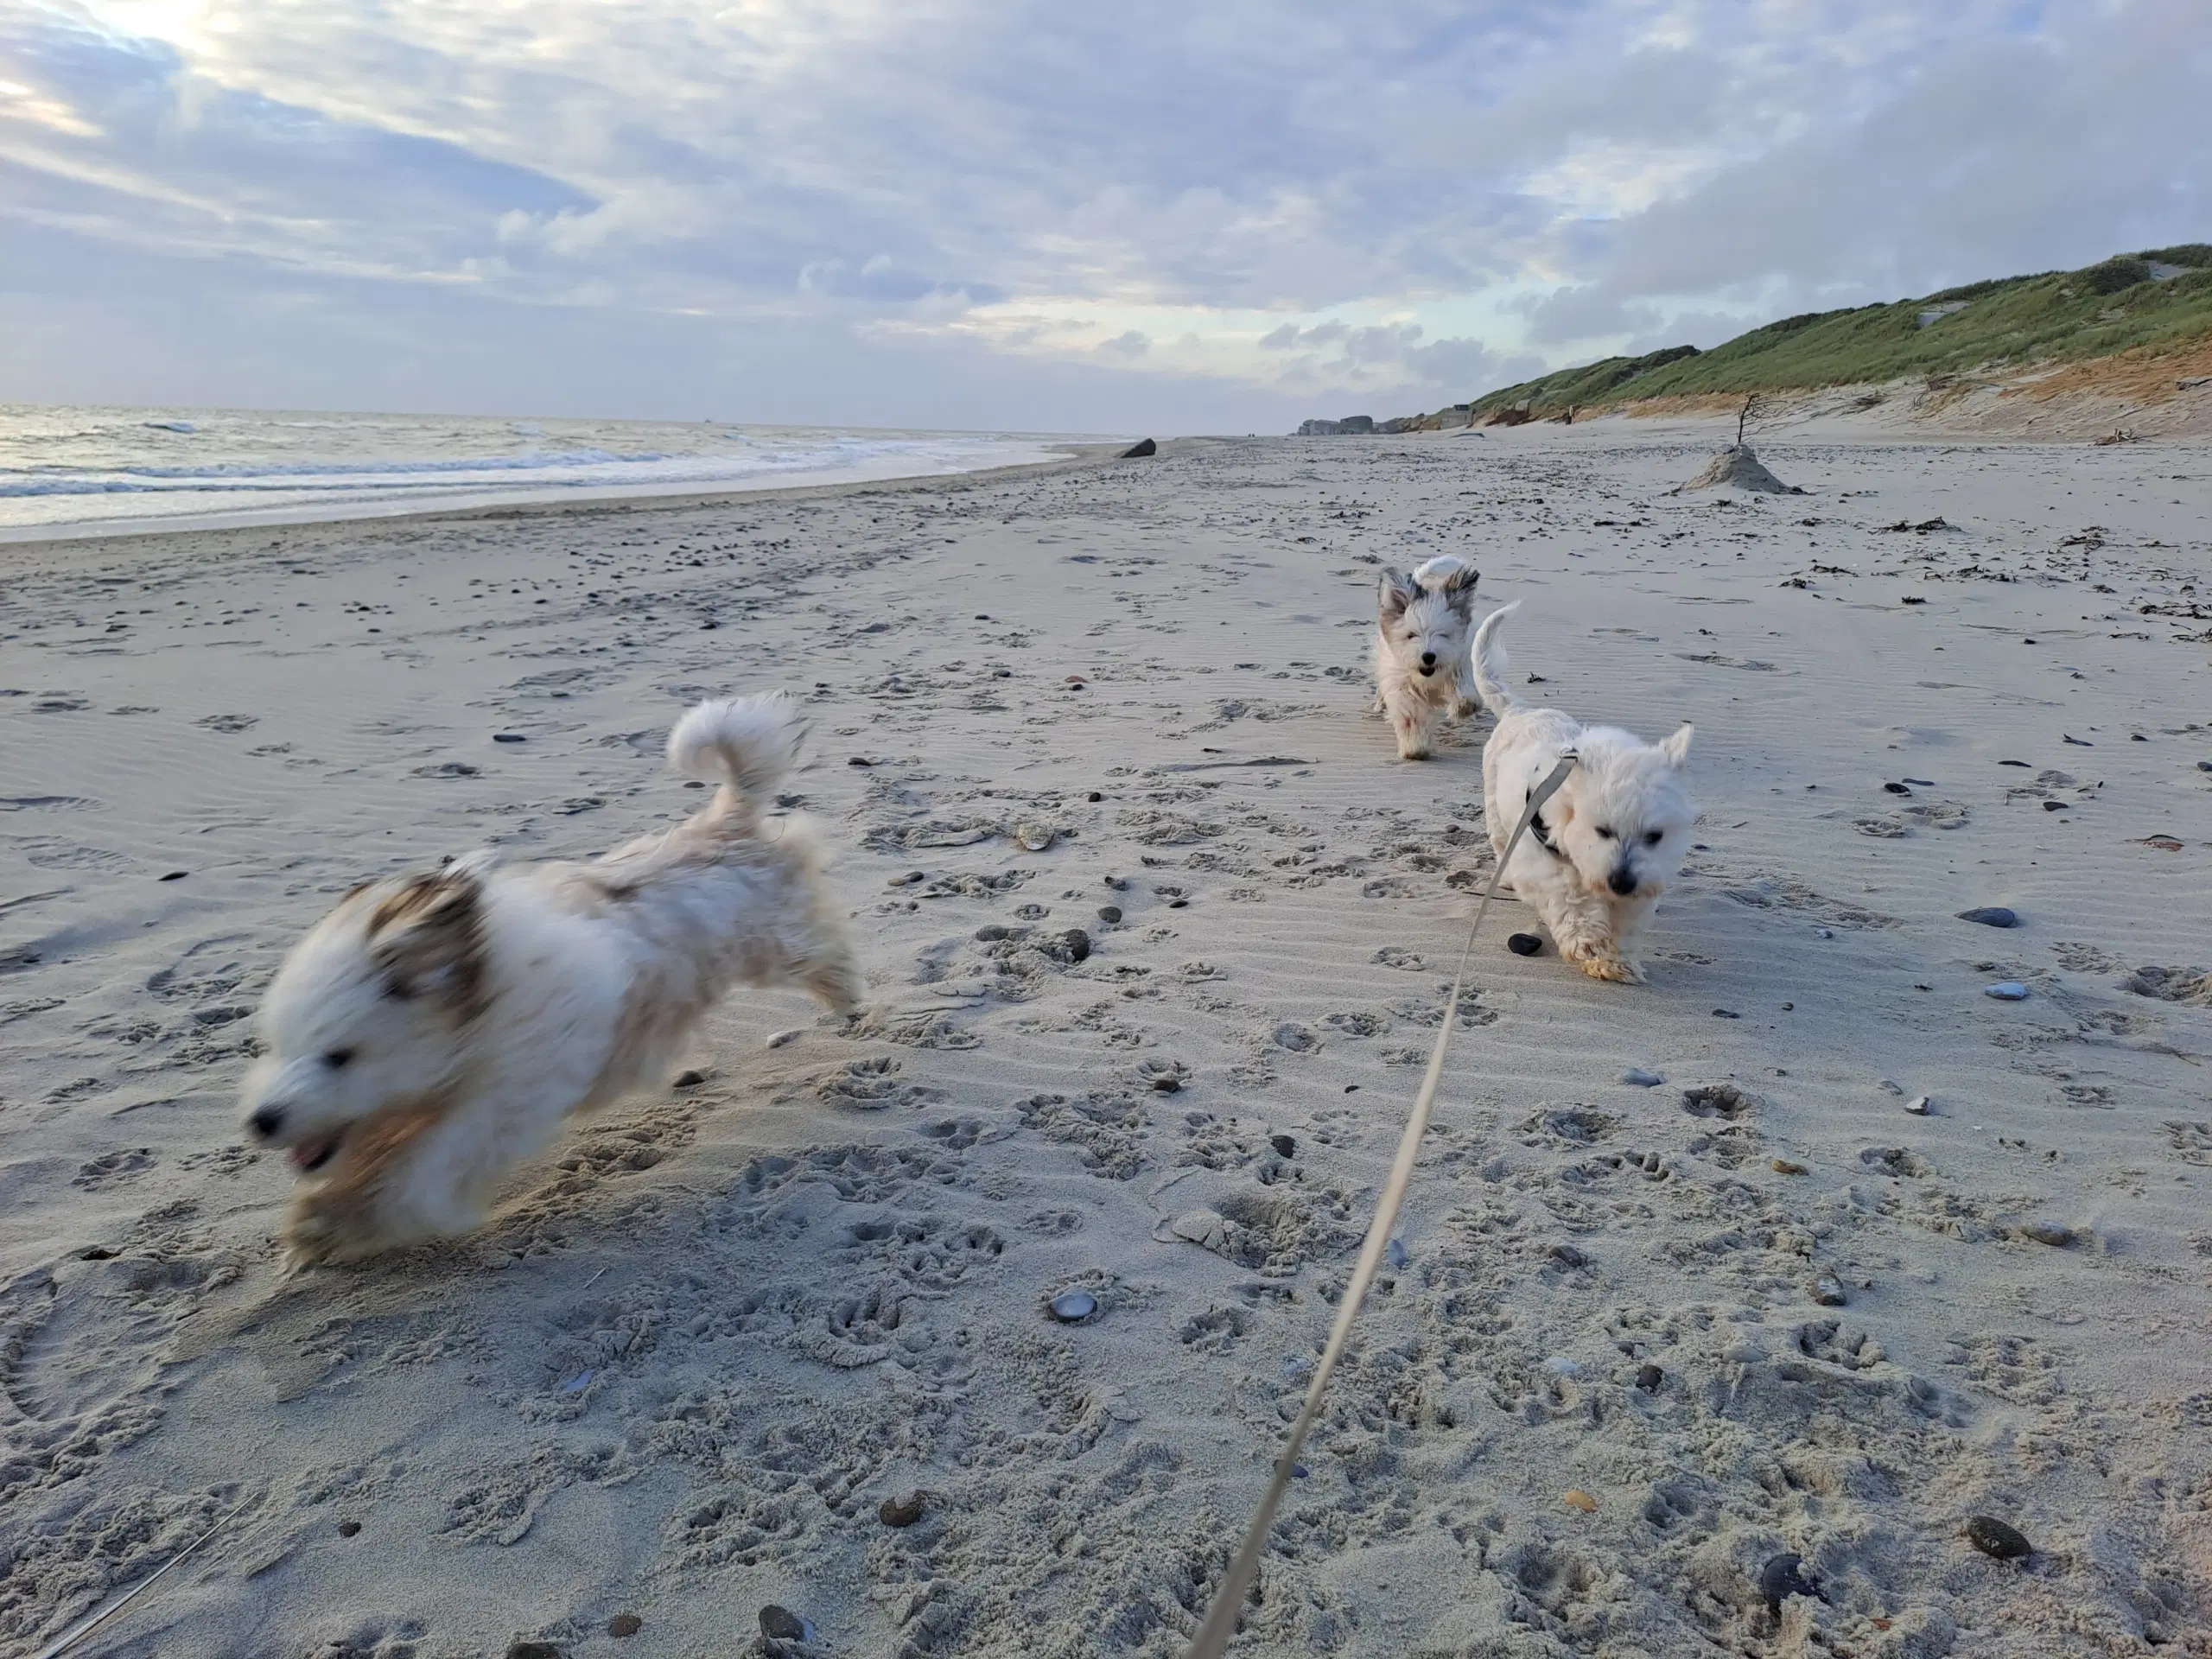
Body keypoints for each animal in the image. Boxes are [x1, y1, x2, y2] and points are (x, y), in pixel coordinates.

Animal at [239, 694, 862, 1265]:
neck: (476, 1010)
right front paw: (322, 1213)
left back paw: (846, 993)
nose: (262, 1120)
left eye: (339, 1057)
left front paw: (330, 1220)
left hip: (776, 936)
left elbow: (417, 1175)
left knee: (820, 940)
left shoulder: (495, 1109)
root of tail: (723, 822)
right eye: (278, 1047)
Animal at [1362, 559, 1486, 765]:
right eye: (1411, 635)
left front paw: (1464, 706)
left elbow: (1464, 686)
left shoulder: (1462, 658)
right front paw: (1415, 748)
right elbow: (1411, 716)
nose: (1428, 656)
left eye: (1443, 634)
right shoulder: (1401, 683)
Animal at [1478, 606, 1699, 982]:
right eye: (1603, 830)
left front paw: (1619, 958)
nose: (1621, 882)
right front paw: (1592, 949)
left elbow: (1626, 920)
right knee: (1501, 841)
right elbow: (1574, 902)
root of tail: (1520, 710)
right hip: (1497, 810)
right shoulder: (1546, 863)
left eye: (1655, 836)